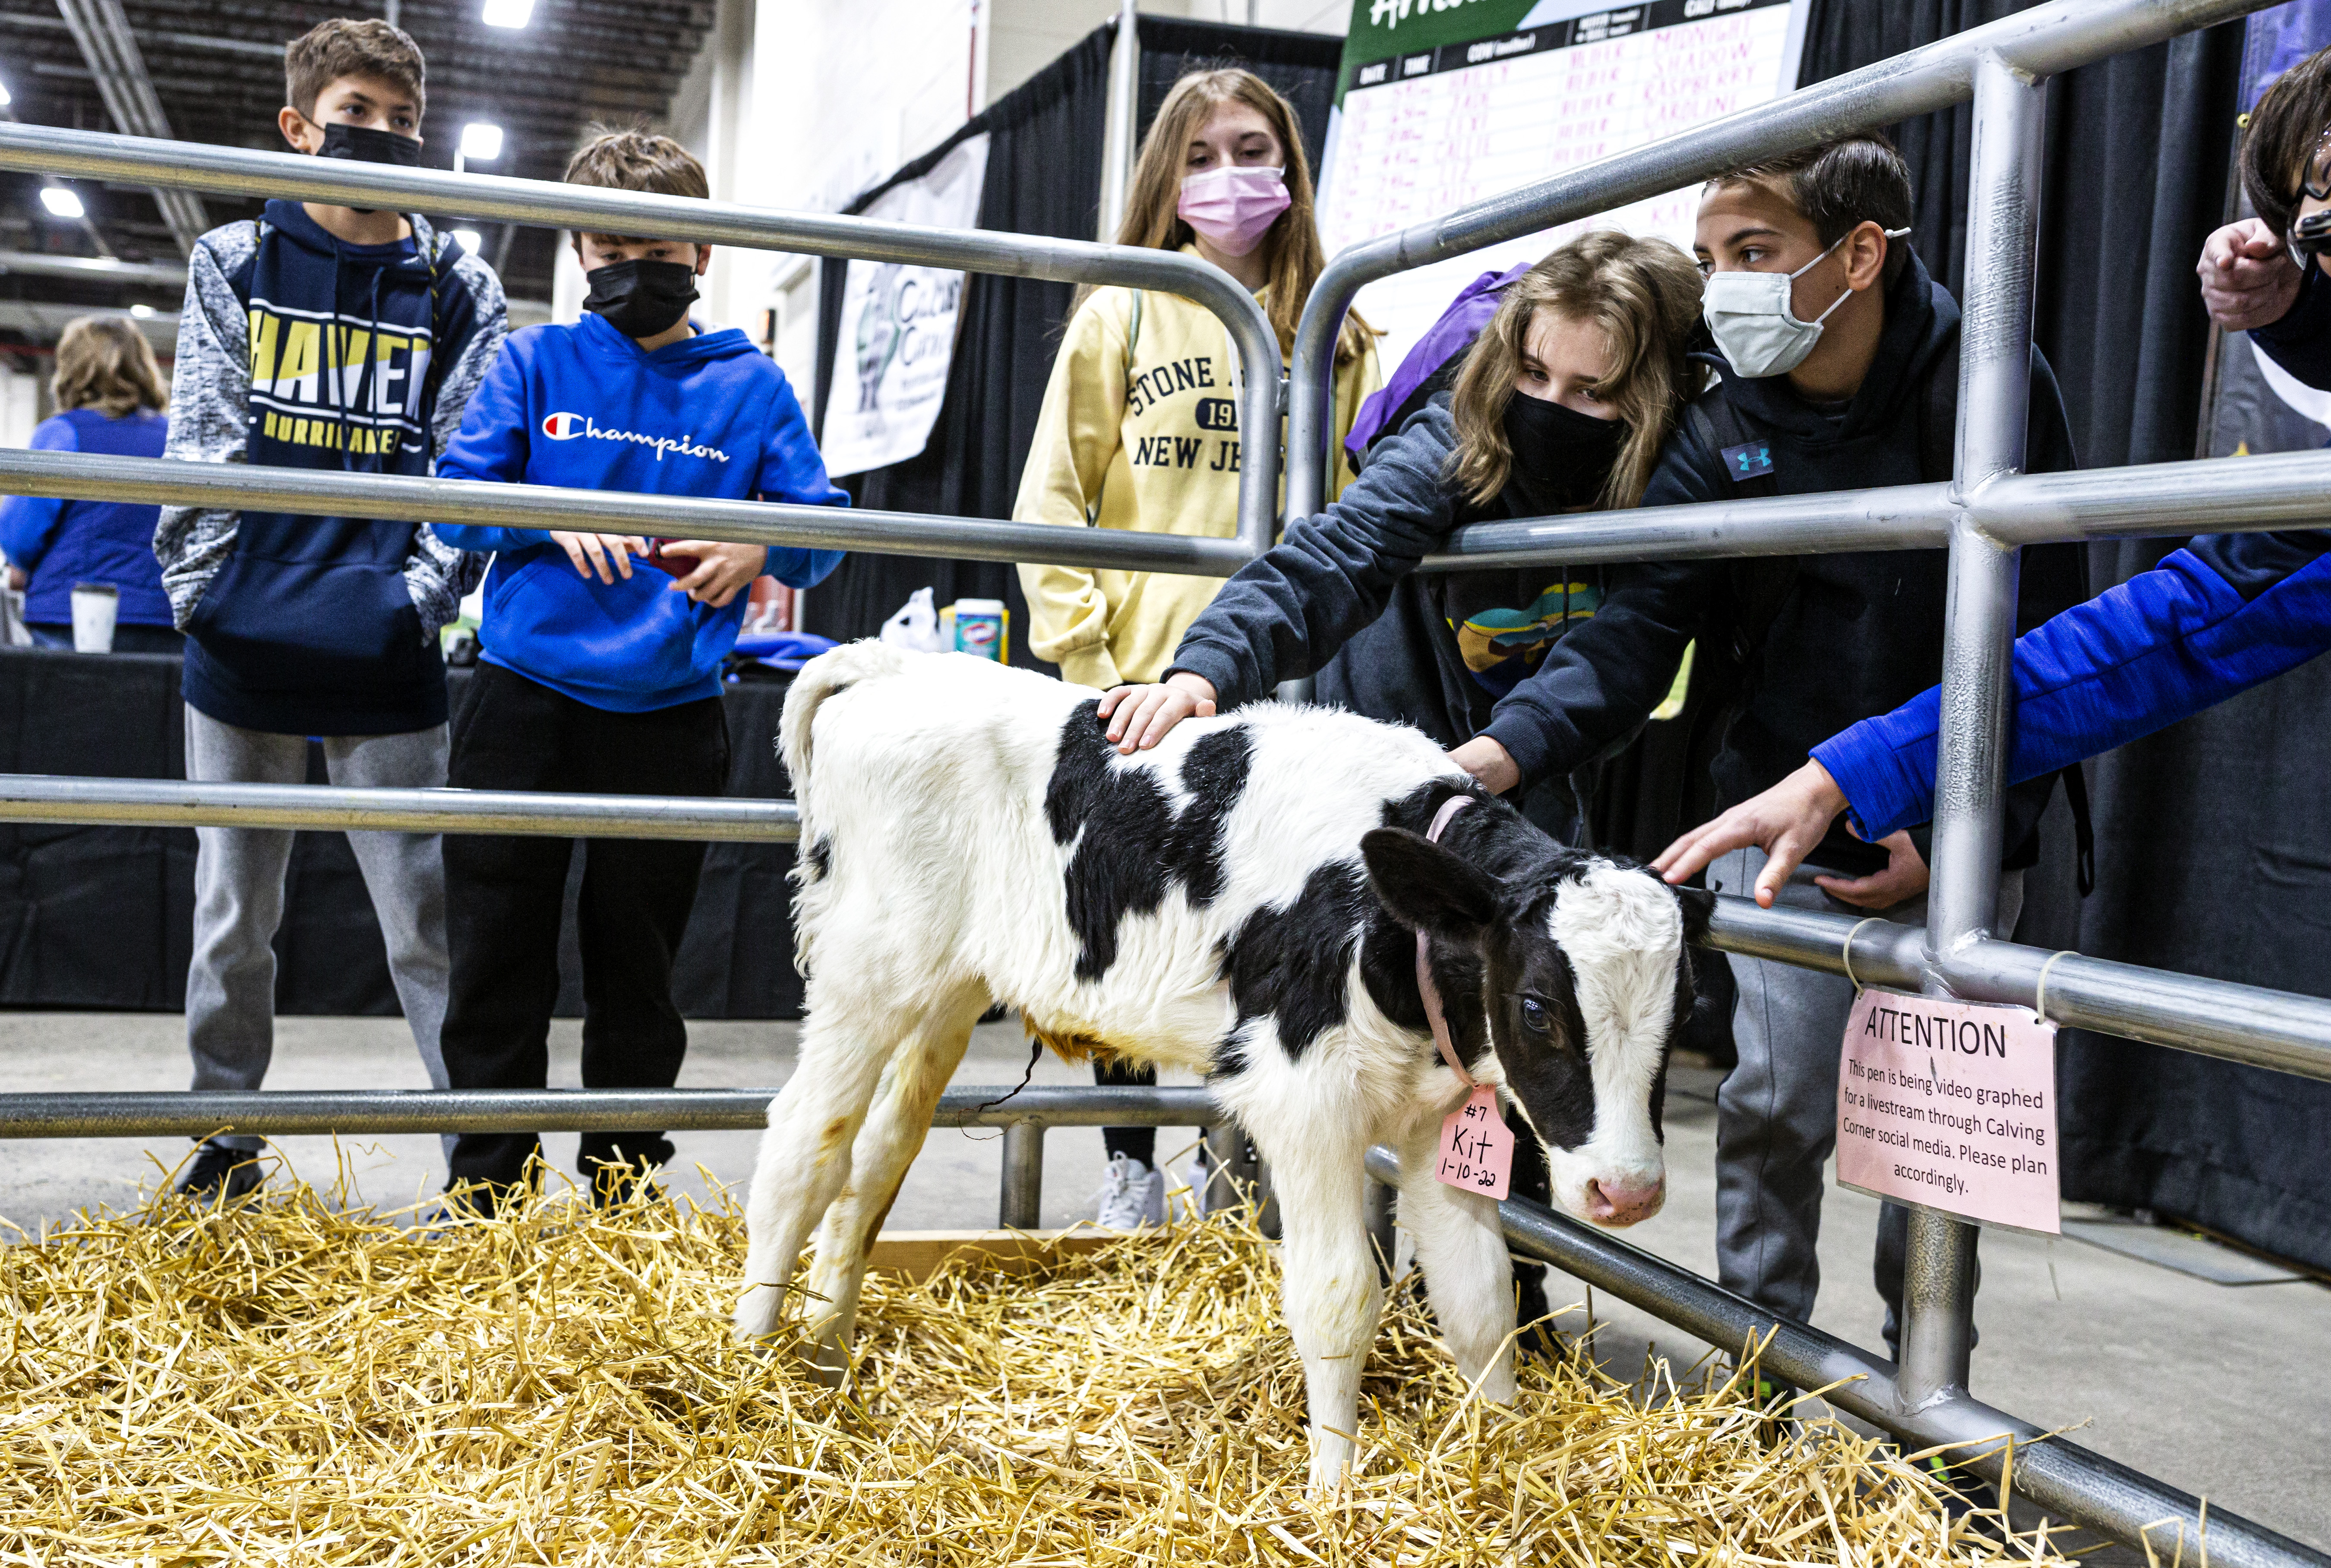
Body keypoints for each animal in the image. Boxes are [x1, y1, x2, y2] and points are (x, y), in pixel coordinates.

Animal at [736, 638, 1725, 1491]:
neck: (1385, 920)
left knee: (876, 1158)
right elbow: (1339, 1296)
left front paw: (1503, 1453)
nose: (1627, 1190)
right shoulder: (1306, 1100)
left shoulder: (1437, 1118)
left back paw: (828, 1353)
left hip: (944, 992)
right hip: (868, 971)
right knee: (802, 1145)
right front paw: (1333, 1491)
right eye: (1536, 1008)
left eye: (1685, 1011)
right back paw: (749, 1366)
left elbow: (1480, 1299)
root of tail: (891, 665)